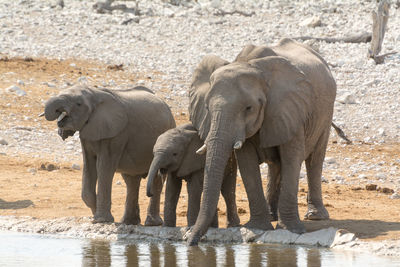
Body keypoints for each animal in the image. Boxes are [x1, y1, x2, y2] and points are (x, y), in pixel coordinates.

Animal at [41, 85, 177, 224]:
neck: (94, 93)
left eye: (78, 104)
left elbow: (104, 167)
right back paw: (128, 222)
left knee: (155, 178)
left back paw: (152, 223)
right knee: (131, 180)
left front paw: (101, 220)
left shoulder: (116, 134)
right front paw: (96, 215)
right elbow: (89, 166)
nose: (62, 131)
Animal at [186, 38, 336, 246]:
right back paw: (273, 216)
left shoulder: (290, 108)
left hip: (325, 114)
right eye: (207, 108)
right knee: (276, 165)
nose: (190, 242)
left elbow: (292, 158)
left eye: (249, 108)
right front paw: (258, 228)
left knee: (314, 160)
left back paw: (315, 216)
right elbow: (247, 162)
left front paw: (291, 230)